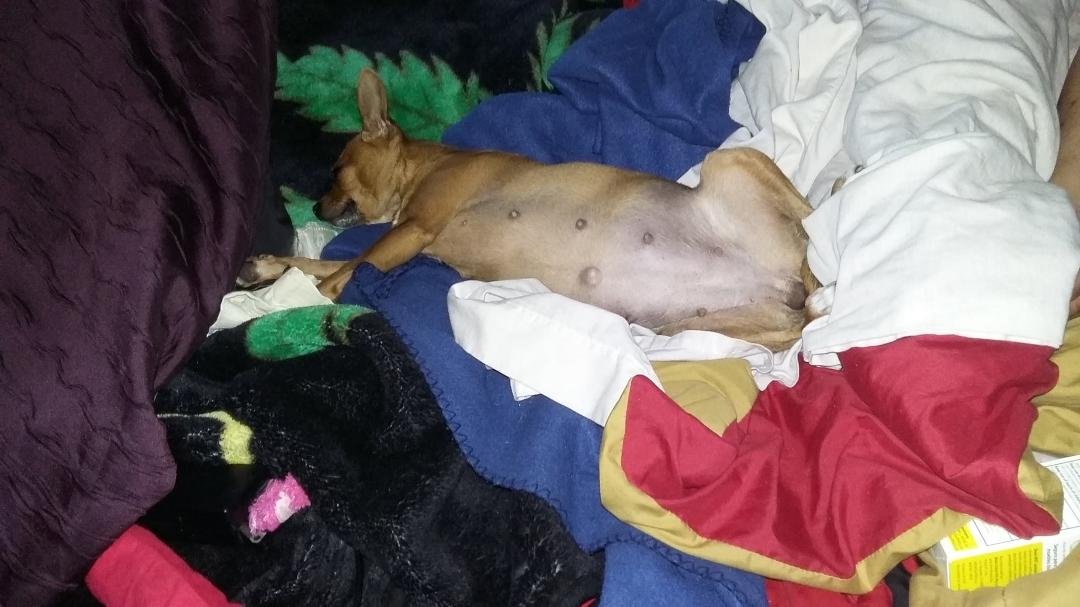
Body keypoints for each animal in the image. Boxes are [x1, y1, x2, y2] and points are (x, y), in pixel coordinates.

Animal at [241, 69, 819, 350]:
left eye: (336, 169)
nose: (316, 206)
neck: (423, 168)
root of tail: (787, 287)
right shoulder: (405, 242)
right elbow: (324, 264)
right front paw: (267, 268)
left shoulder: (414, 231)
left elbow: (338, 273)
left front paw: (282, 305)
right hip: (696, 328)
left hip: (729, 163)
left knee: (810, 211)